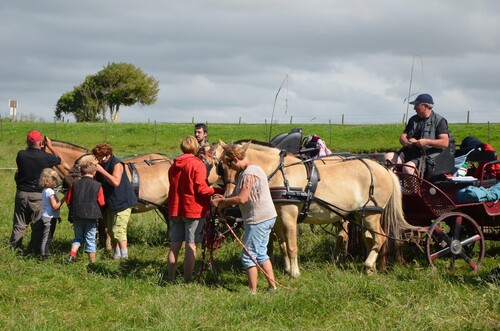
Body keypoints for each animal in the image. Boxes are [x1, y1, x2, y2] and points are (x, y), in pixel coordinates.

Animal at [215, 140, 418, 278]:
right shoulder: (279, 217)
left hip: (370, 214)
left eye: (238, 167)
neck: (280, 173)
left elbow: (292, 245)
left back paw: (368, 265)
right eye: (222, 167)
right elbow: (282, 245)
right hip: (361, 214)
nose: (228, 196)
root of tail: (384, 169)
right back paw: (371, 268)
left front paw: (294, 273)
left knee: (380, 237)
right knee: (369, 239)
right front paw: (287, 268)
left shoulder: (289, 214)